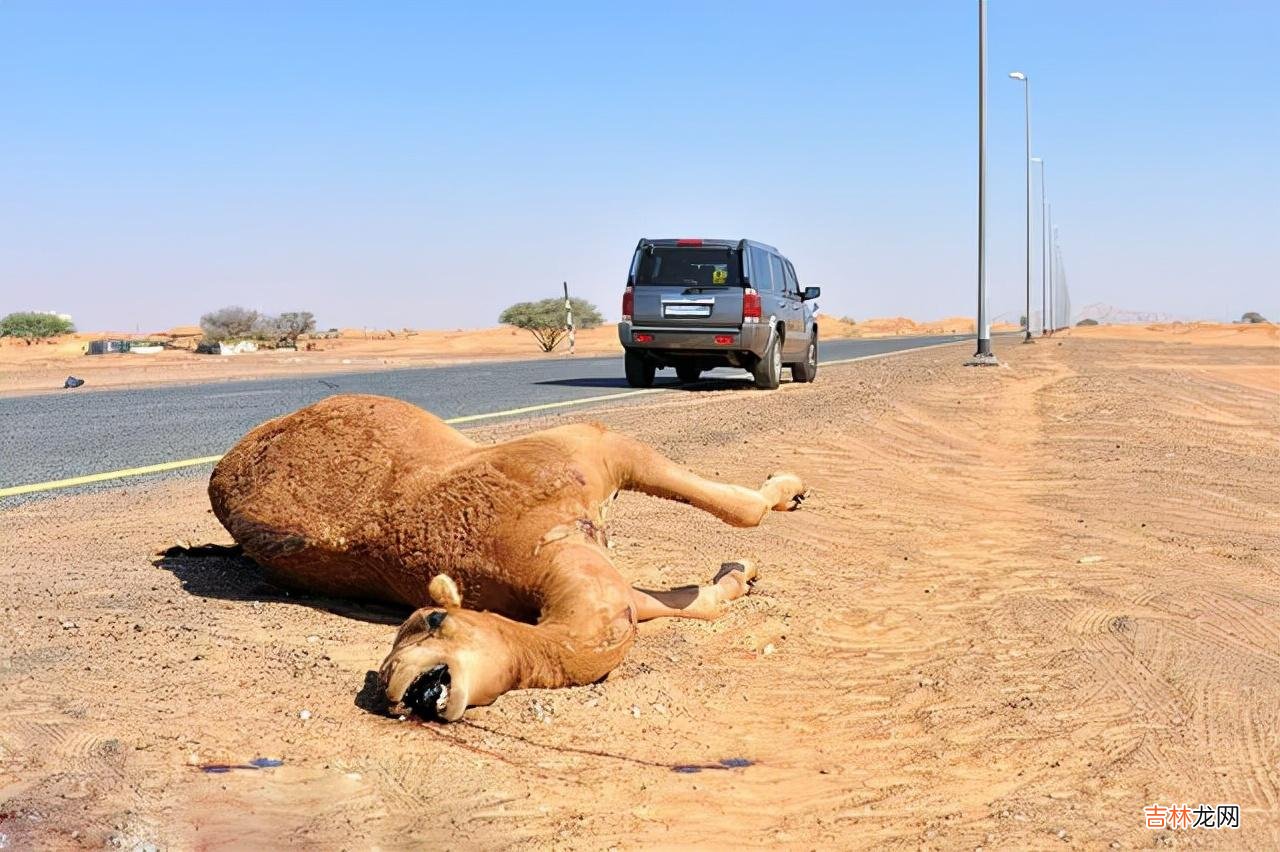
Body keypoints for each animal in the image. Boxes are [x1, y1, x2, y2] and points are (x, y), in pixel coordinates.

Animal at [209, 391, 808, 716]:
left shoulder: (593, 449)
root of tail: (221, 469)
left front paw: (780, 504)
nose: (400, 686)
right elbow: (686, 594)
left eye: (431, 620)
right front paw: (745, 564)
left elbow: (736, 520)